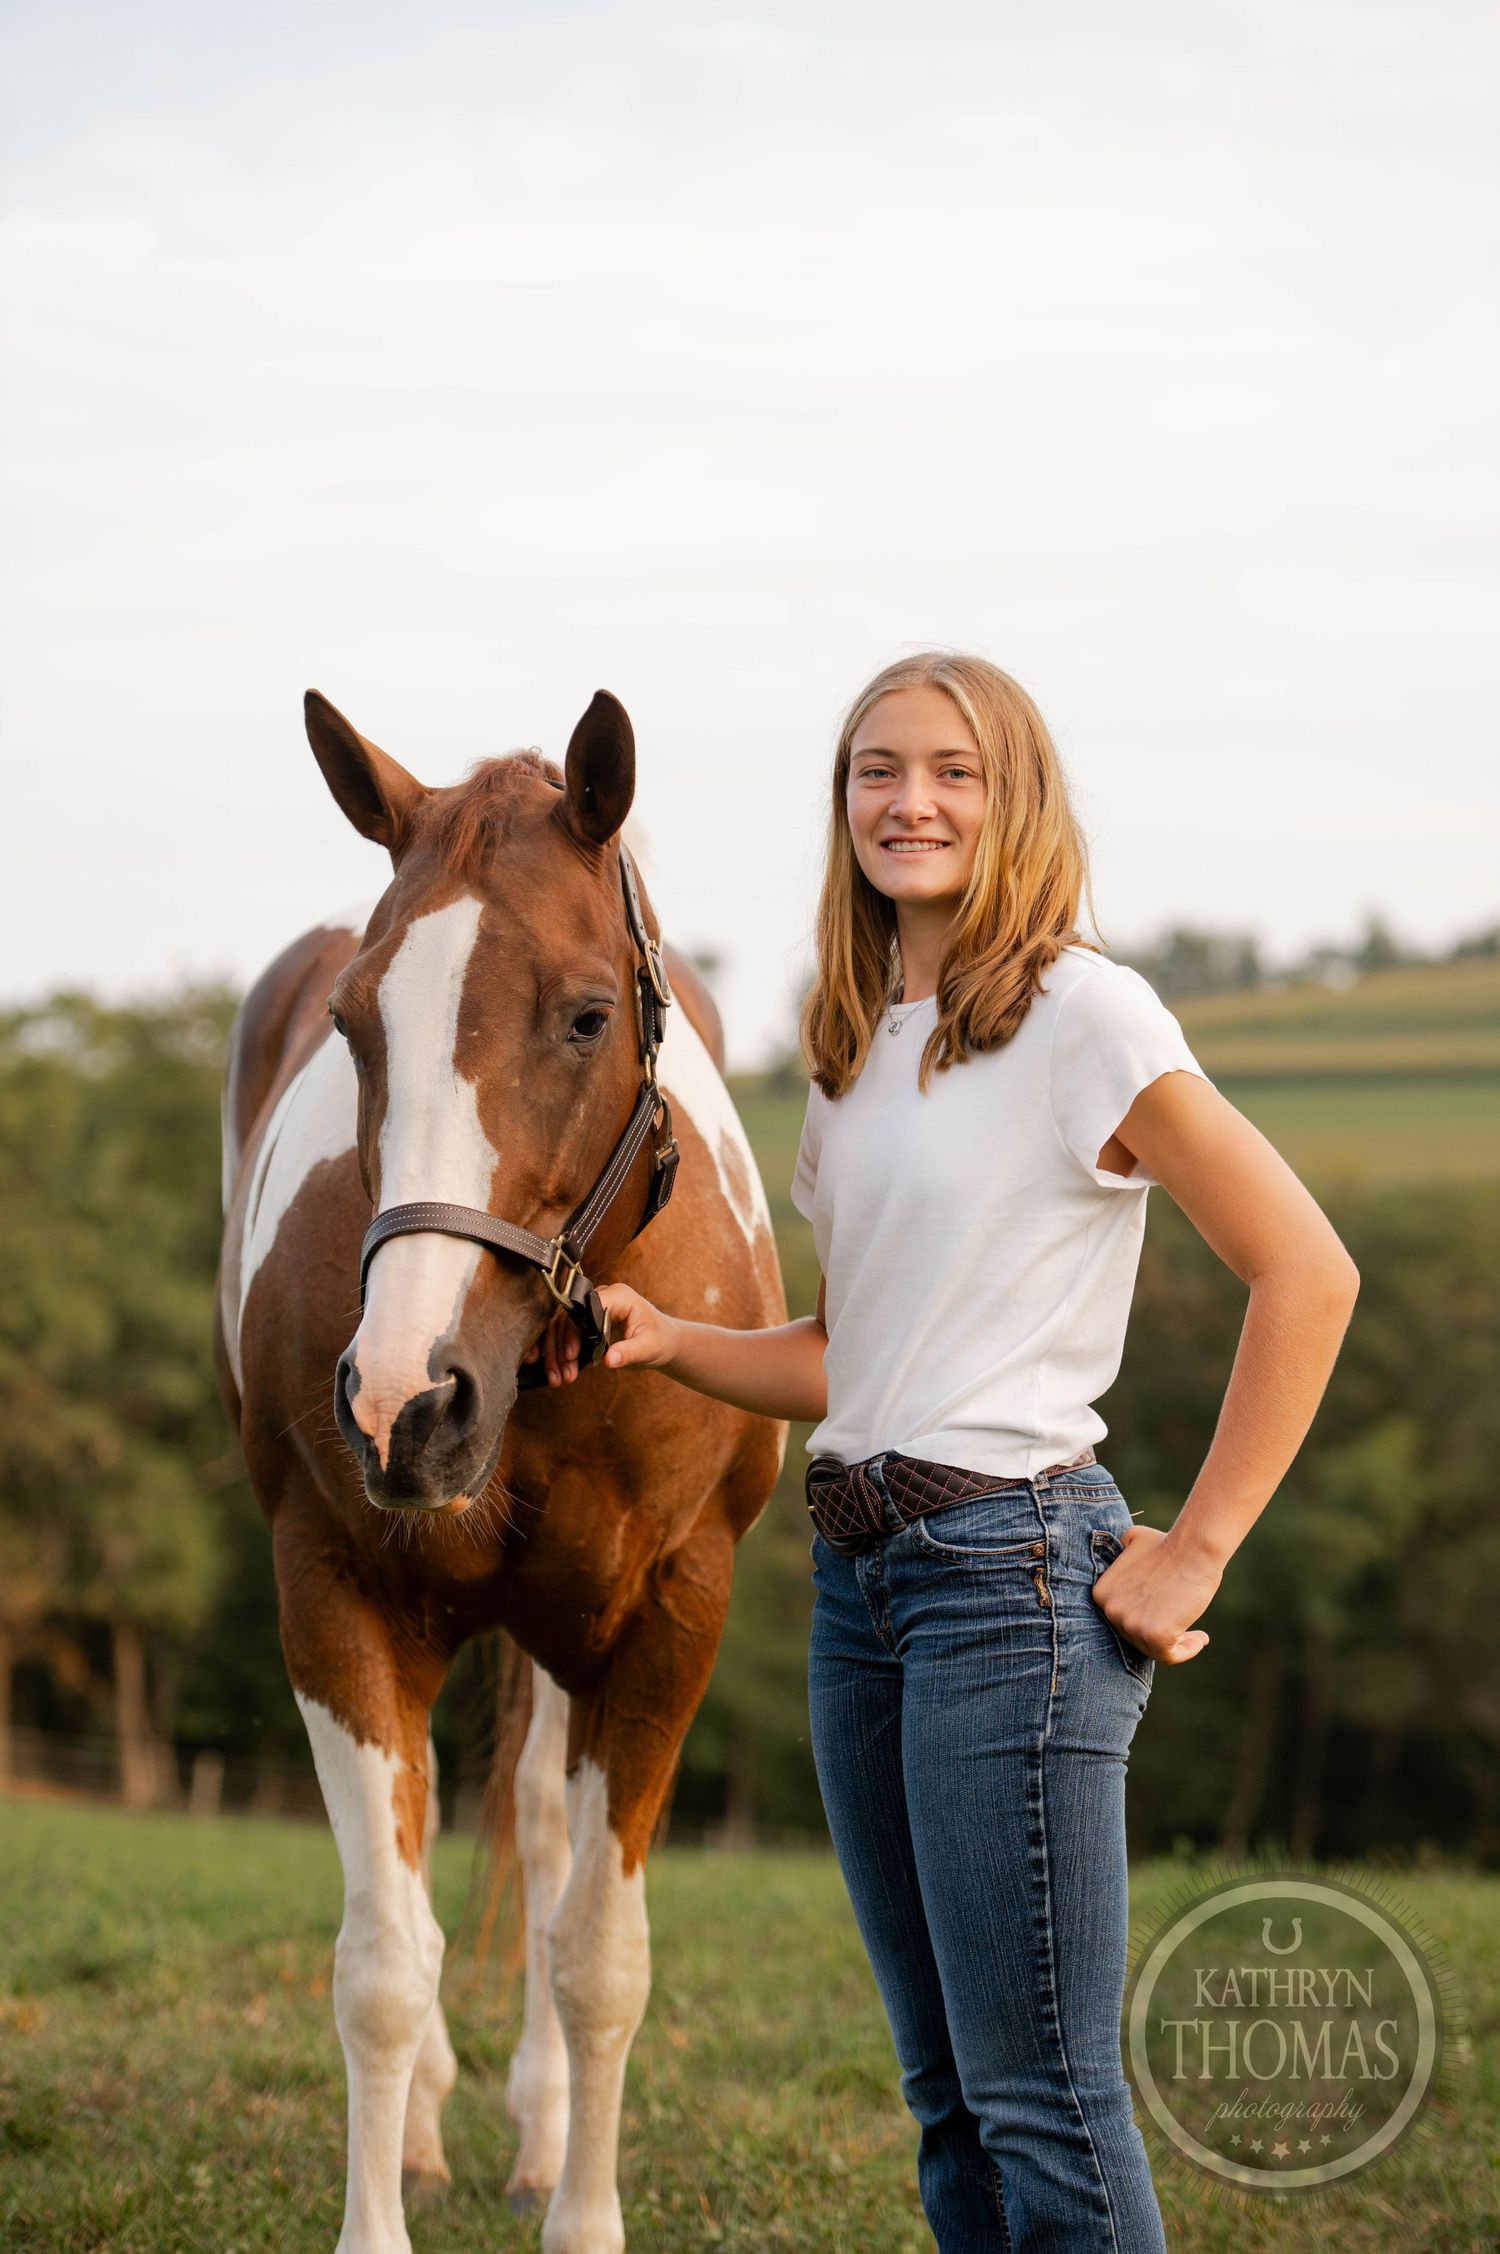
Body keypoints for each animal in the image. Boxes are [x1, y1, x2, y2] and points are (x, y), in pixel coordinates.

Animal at [212, 686, 788, 2254]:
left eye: (588, 1015)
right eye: (354, 1024)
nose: (403, 1400)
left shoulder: (672, 1615)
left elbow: (600, 1954)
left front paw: (579, 2210)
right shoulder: (333, 1595)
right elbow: (381, 1962)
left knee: (539, 1835)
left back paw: (535, 2127)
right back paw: (424, 2125)